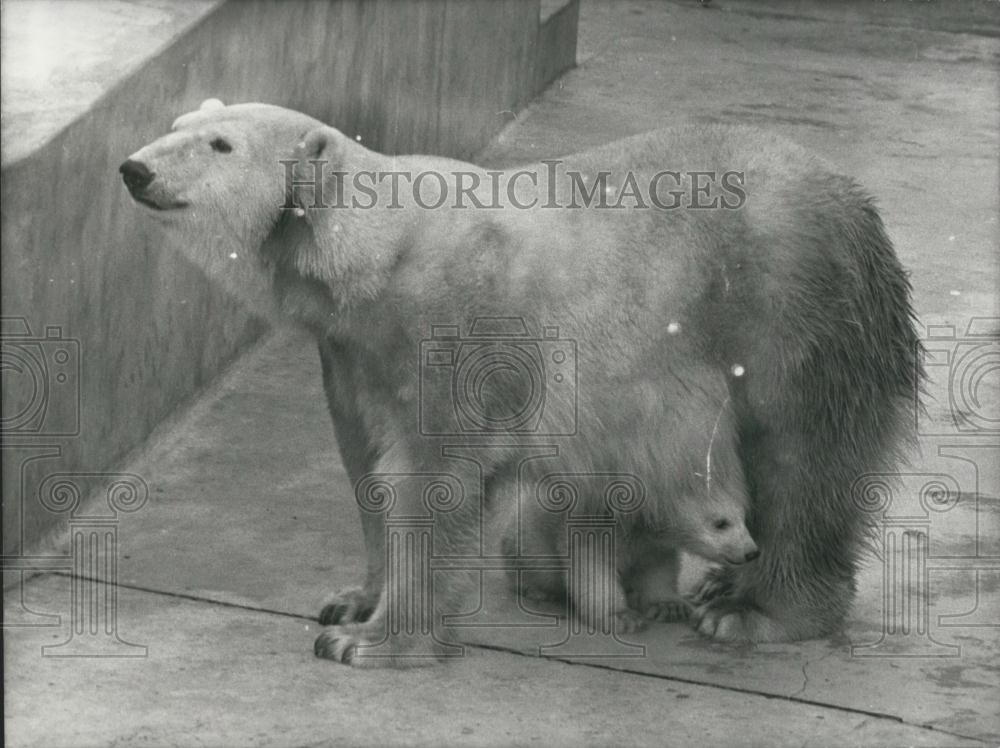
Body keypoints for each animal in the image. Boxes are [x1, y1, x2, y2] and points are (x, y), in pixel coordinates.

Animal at [119, 99, 920, 668]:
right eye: (178, 125)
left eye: (220, 145)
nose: (133, 169)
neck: (378, 251)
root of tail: (857, 202)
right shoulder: (353, 351)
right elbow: (367, 464)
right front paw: (351, 602)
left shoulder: (453, 327)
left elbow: (434, 476)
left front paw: (373, 641)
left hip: (788, 305)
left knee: (803, 457)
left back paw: (753, 611)